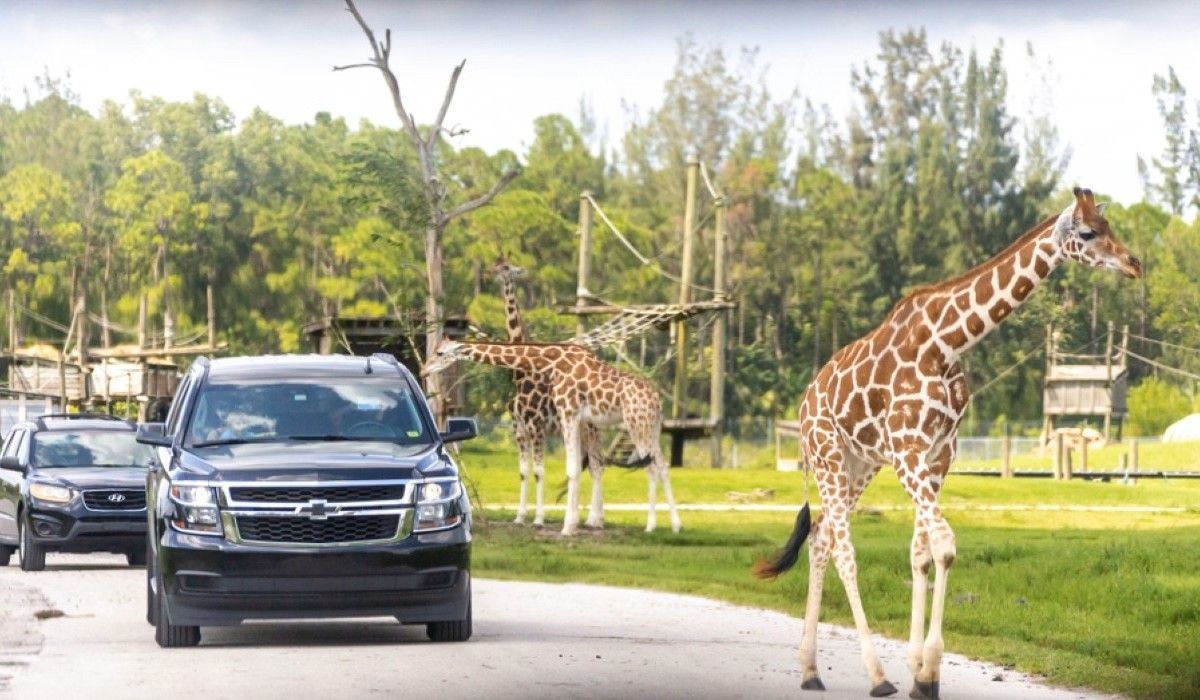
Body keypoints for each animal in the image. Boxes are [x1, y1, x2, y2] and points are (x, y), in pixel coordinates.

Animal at [425, 339, 682, 536]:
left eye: (440, 353)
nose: (424, 371)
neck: (552, 362)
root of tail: (658, 401)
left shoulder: (568, 413)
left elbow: (571, 469)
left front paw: (567, 527)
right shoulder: (572, 418)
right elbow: (575, 469)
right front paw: (573, 523)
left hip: (637, 425)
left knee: (651, 467)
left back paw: (651, 526)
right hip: (651, 428)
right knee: (662, 465)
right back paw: (675, 525)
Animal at [490, 256, 605, 528]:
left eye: (507, 267)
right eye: (496, 264)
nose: (492, 273)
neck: (520, 376)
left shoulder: (536, 426)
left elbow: (539, 472)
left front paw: (539, 519)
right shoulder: (519, 429)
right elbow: (523, 472)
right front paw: (520, 517)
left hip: (592, 430)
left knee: (597, 466)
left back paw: (593, 520)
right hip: (578, 431)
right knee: (588, 466)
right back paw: (586, 518)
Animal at [752, 188, 1141, 699]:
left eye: (1109, 224)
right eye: (1089, 231)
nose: (1134, 263)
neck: (947, 343)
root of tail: (802, 406)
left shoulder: (938, 454)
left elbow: (921, 552)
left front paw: (921, 670)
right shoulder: (908, 451)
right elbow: (944, 545)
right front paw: (925, 671)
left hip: (859, 463)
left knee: (820, 538)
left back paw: (810, 670)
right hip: (829, 456)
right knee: (843, 550)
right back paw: (876, 675)